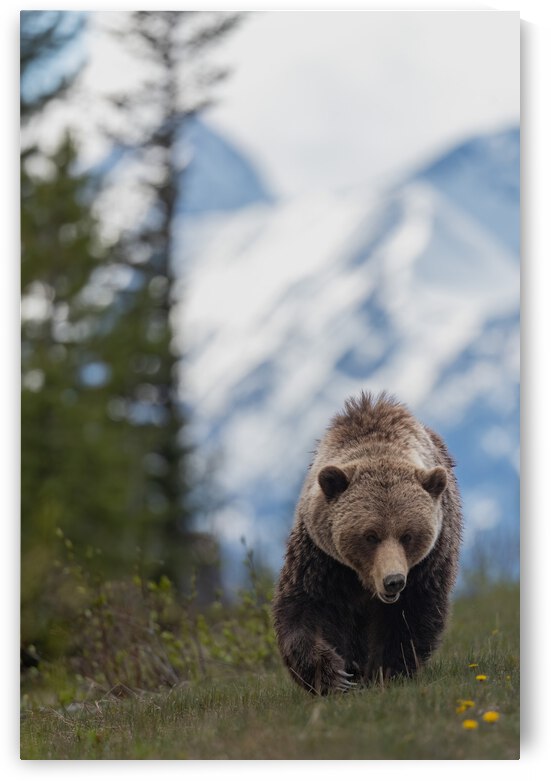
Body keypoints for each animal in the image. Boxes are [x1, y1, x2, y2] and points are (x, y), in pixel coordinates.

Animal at [272, 391, 462, 695]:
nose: (393, 580)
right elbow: (306, 607)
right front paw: (334, 676)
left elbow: (410, 616)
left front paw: (387, 672)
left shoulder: (429, 562)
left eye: (408, 535)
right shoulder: (322, 559)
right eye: (370, 535)